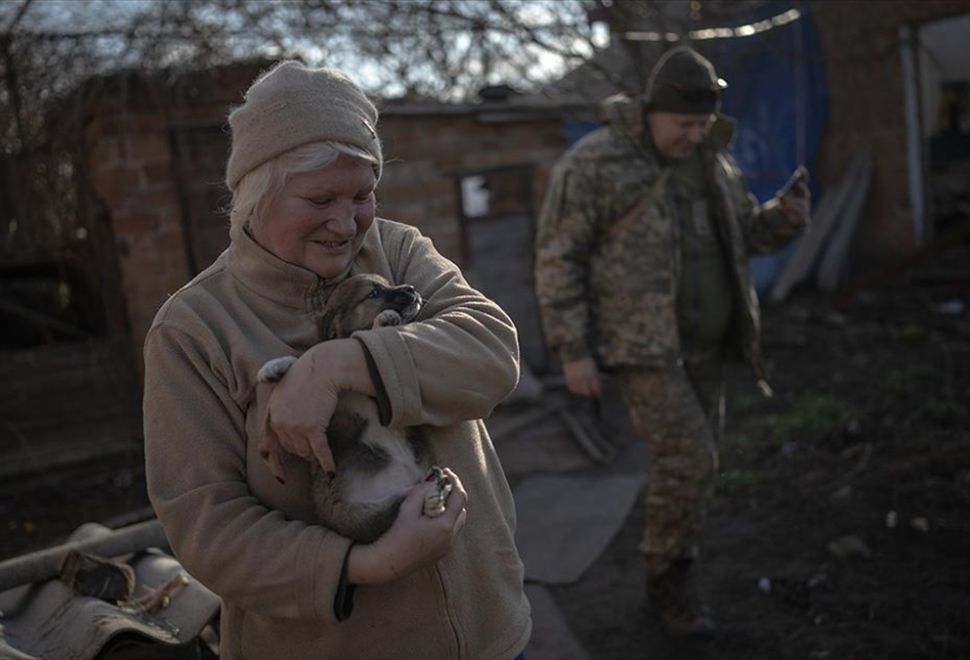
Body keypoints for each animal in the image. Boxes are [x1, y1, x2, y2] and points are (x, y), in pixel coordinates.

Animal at [258, 274, 454, 540]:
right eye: (374, 293)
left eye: (388, 283)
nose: (412, 289)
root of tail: (409, 481)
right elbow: (302, 358)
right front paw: (273, 368)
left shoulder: (379, 399)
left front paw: (385, 321)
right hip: (359, 517)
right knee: (399, 506)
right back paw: (433, 494)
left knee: (402, 506)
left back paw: (435, 494)